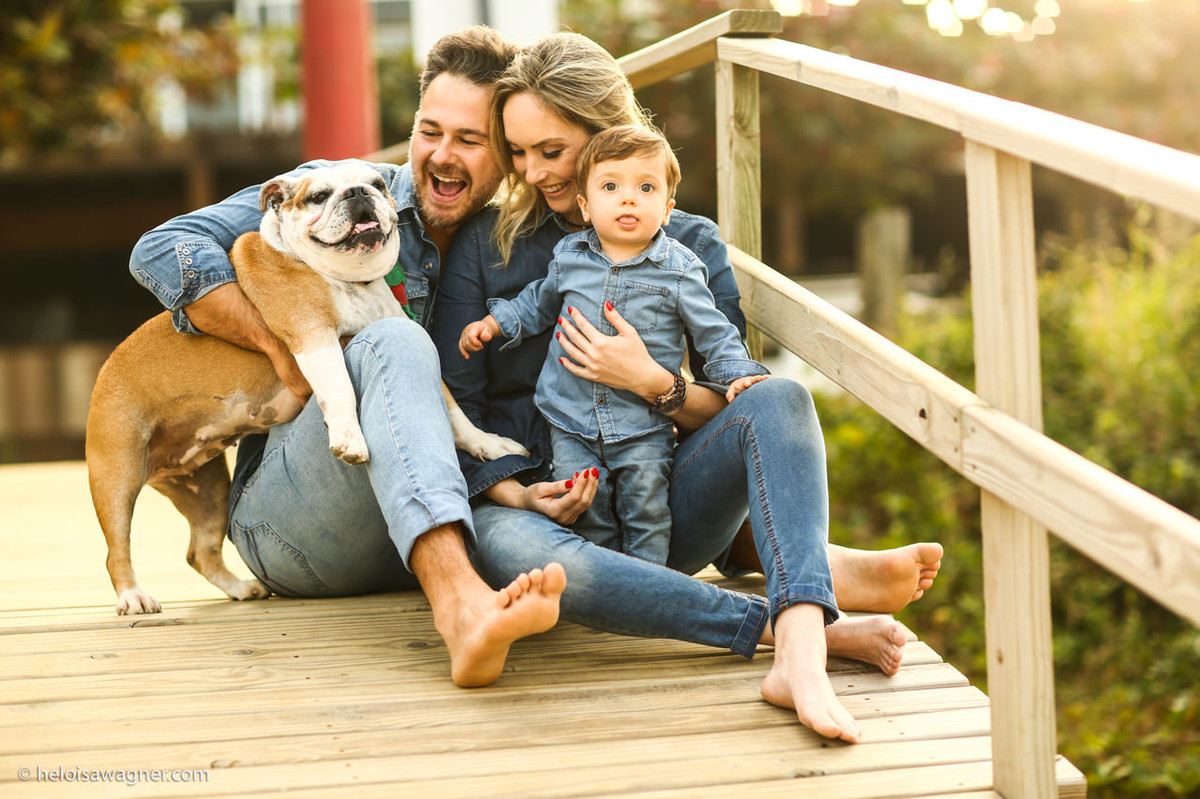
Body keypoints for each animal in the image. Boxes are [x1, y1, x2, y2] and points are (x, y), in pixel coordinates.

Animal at [86, 162, 527, 615]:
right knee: (116, 548)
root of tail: (105, 370)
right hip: (116, 473)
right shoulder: (315, 338)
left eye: (378, 184)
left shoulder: (407, 332)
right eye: (318, 196)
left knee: (201, 551)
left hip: (206, 490)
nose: (357, 192)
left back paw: (241, 588)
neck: (348, 280)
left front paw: (490, 444)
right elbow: (340, 389)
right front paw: (351, 439)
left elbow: (454, 410)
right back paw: (134, 597)